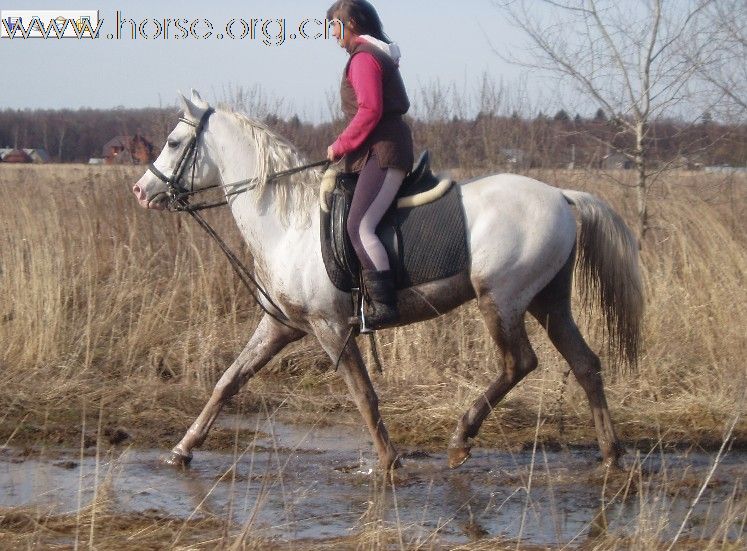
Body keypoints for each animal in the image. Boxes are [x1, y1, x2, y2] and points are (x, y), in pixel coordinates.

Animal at [133, 90, 644, 470]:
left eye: (173, 142)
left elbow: (364, 395)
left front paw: (390, 461)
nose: (141, 190)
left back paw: (461, 439)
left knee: (519, 363)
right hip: (547, 300)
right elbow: (229, 381)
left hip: (502, 299)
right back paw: (611, 454)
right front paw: (181, 450)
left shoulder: (330, 328)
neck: (289, 221)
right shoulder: (280, 326)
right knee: (585, 363)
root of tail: (561, 195)